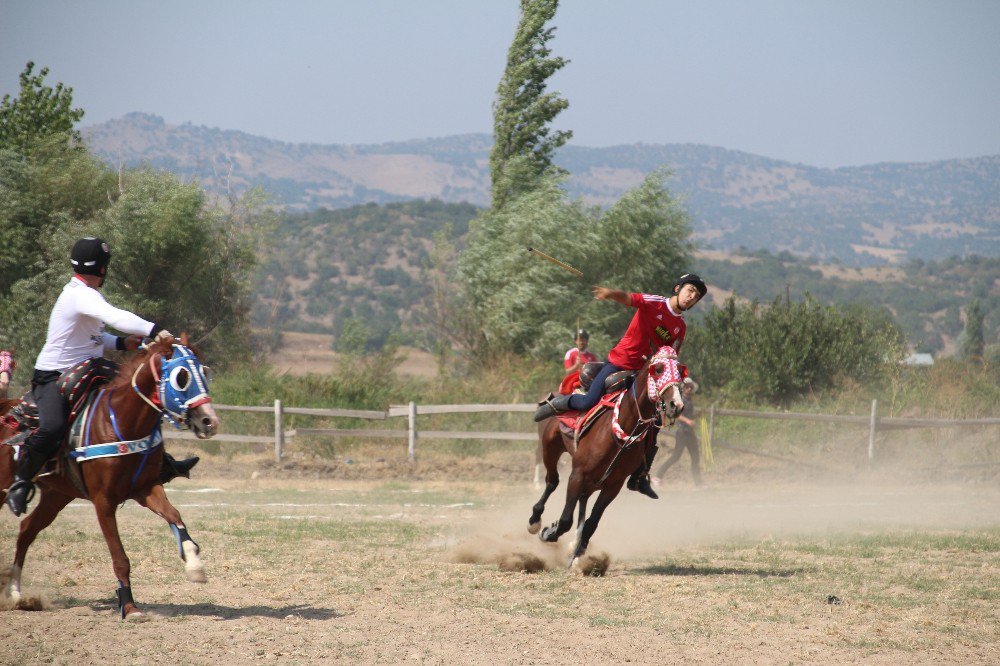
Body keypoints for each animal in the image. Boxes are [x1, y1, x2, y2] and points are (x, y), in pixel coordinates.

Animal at [0, 334, 220, 620]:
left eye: (204, 372)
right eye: (181, 377)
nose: (209, 421)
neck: (120, 421)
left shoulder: (146, 488)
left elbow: (174, 515)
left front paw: (195, 565)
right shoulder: (103, 501)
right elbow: (120, 558)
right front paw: (129, 606)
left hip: (57, 495)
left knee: (27, 530)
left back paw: (16, 593)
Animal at [528, 344, 684, 568]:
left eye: (681, 370)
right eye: (658, 369)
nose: (675, 405)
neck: (622, 426)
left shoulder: (613, 485)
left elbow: (592, 522)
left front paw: (578, 552)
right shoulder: (577, 475)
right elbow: (566, 519)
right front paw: (550, 532)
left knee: (581, 500)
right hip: (550, 448)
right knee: (552, 481)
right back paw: (535, 520)